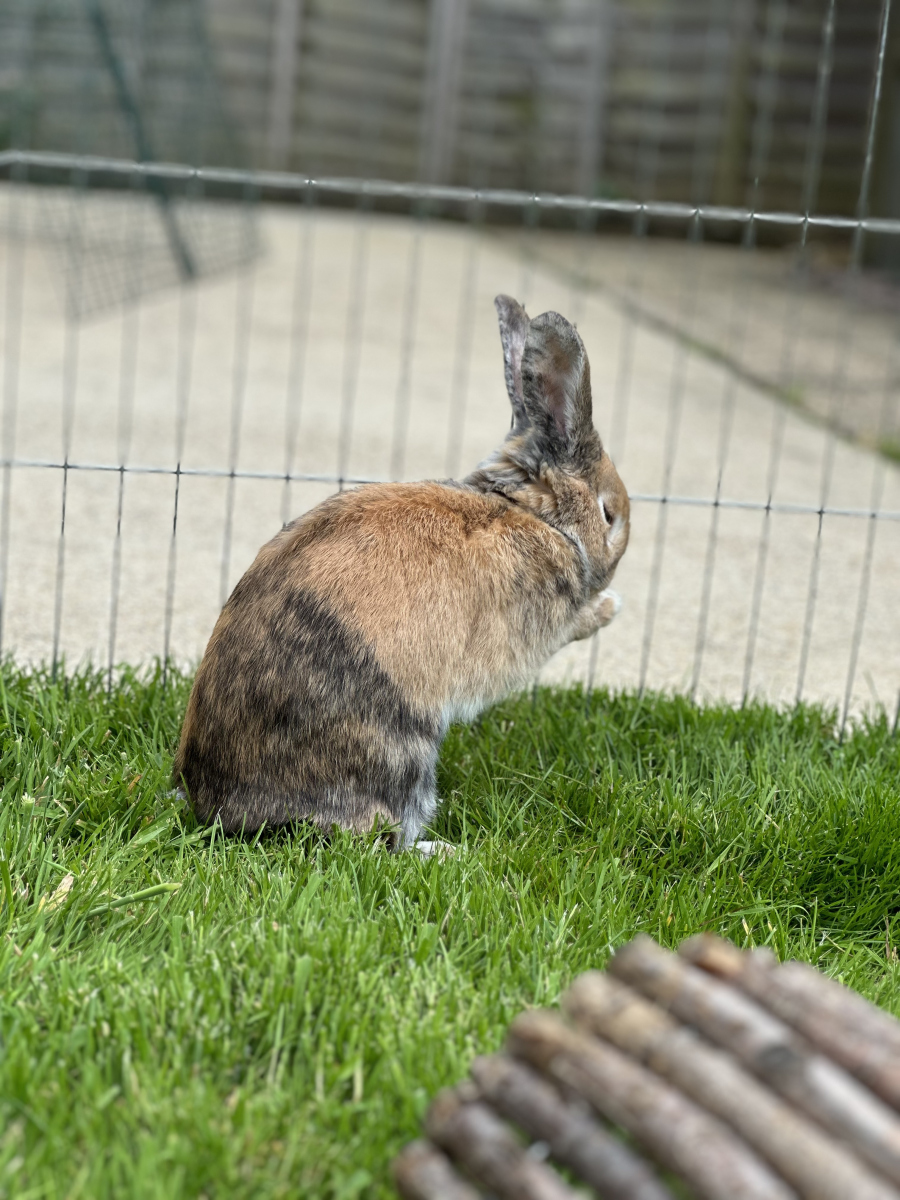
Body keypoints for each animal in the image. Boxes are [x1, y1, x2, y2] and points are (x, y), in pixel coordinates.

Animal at [172, 297, 628, 854]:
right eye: (609, 514)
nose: (619, 550)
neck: (533, 514)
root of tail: (218, 806)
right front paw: (609, 608)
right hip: (401, 752)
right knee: (380, 841)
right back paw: (451, 851)